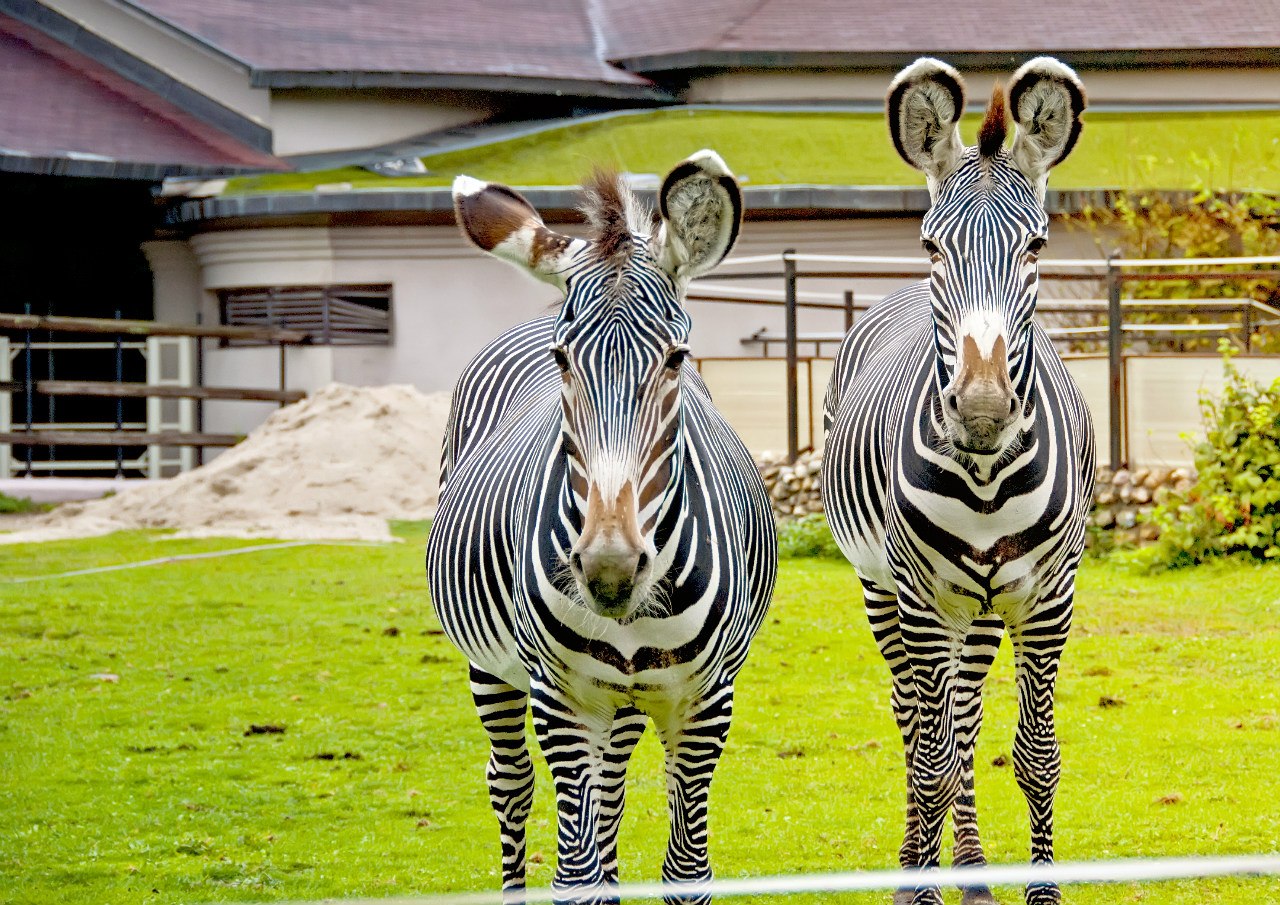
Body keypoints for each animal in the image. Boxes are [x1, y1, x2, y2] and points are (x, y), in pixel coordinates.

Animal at [424, 152, 773, 901]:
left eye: (676, 359)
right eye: (562, 361)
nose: (609, 571)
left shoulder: (705, 701)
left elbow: (686, 871)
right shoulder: (560, 698)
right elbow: (575, 875)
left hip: (623, 702)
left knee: (608, 798)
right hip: (493, 668)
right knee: (511, 786)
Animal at [824, 58, 1095, 905]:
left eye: (1037, 246)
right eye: (931, 245)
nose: (980, 410)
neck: (983, 475)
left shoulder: (1049, 597)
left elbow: (1035, 756)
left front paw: (1042, 891)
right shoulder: (918, 596)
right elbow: (933, 759)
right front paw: (918, 886)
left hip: (978, 610)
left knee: (965, 715)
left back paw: (974, 872)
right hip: (887, 591)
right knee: (917, 721)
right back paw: (919, 866)